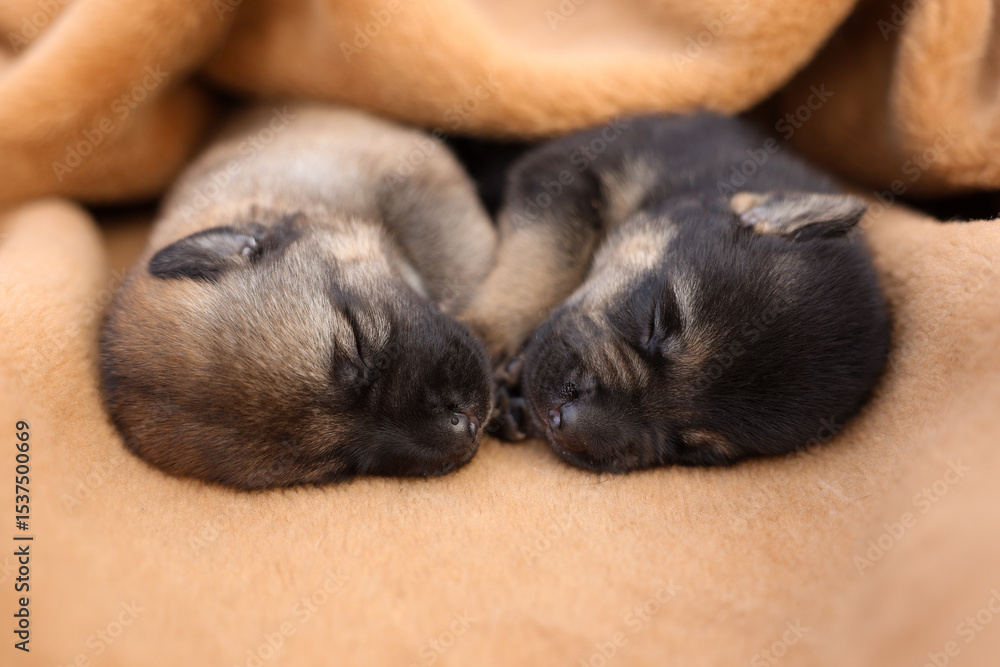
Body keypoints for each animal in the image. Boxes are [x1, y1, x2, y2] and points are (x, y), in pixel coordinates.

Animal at [459, 113, 891, 472]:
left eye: (692, 448)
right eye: (657, 321)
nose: (561, 422)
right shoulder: (570, 171)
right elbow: (542, 262)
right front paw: (485, 337)